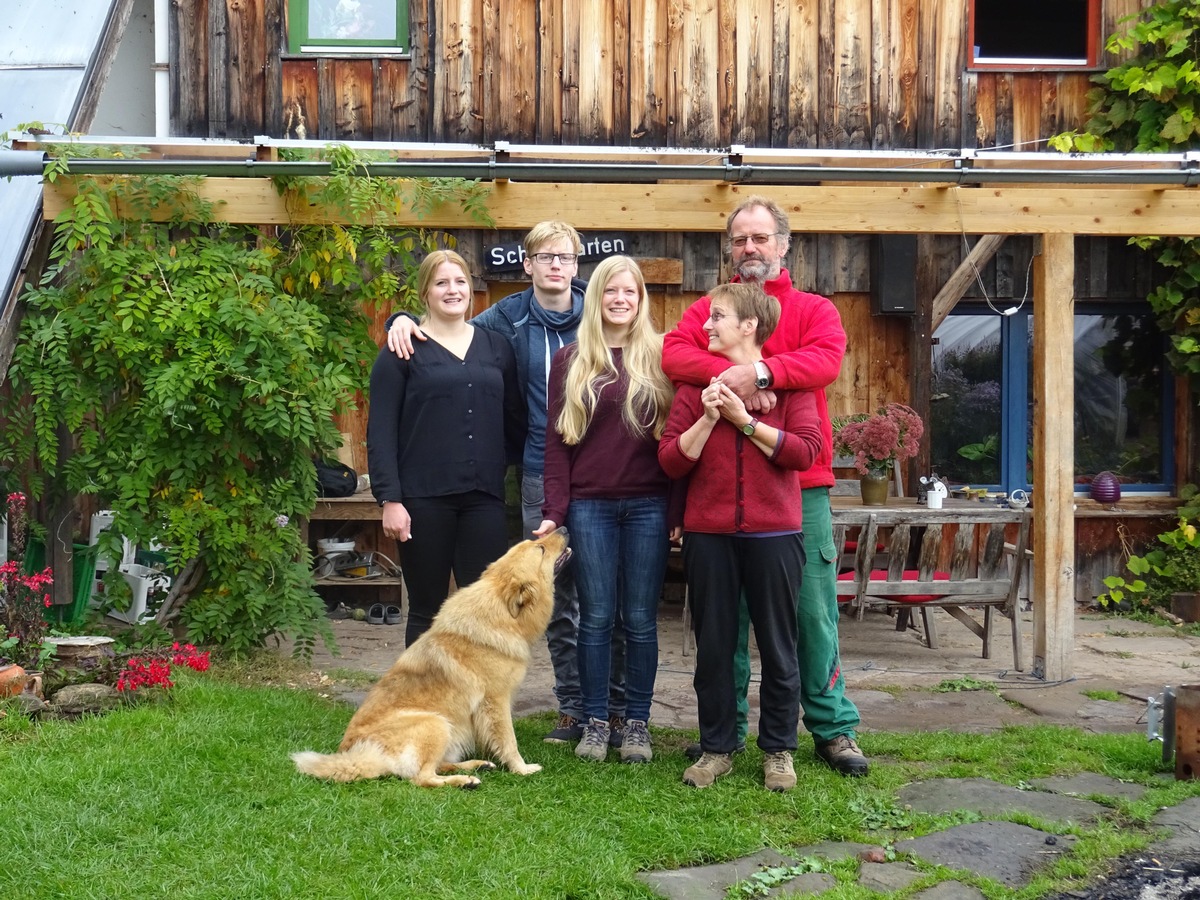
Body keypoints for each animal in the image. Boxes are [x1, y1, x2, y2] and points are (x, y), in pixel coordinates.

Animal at [291, 528, 571, 787]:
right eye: (540, 549)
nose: (564, 529)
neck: (501, 613)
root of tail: (358, 756)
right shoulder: (496, 702)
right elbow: (509, 741)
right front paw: (522, 769)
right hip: (435, 723)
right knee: (423, 778)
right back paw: (465, 780)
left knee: (439, 765)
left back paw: (476, 765)